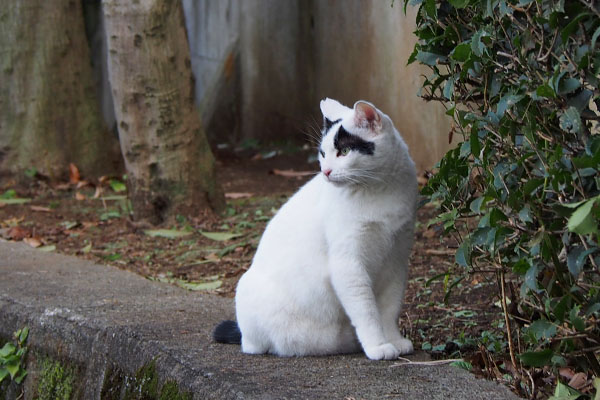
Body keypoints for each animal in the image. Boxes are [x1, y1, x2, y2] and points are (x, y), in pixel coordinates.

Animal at [214, 98, 418, 360]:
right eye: (323, 154)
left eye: (343, 152)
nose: (326, 172)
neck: (380, 190)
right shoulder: (348, 264)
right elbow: (367, 312)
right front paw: (378, 346)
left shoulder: (396, 259)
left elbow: (389, 308)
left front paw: (393, 339)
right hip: (248, 293)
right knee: (256, 345)